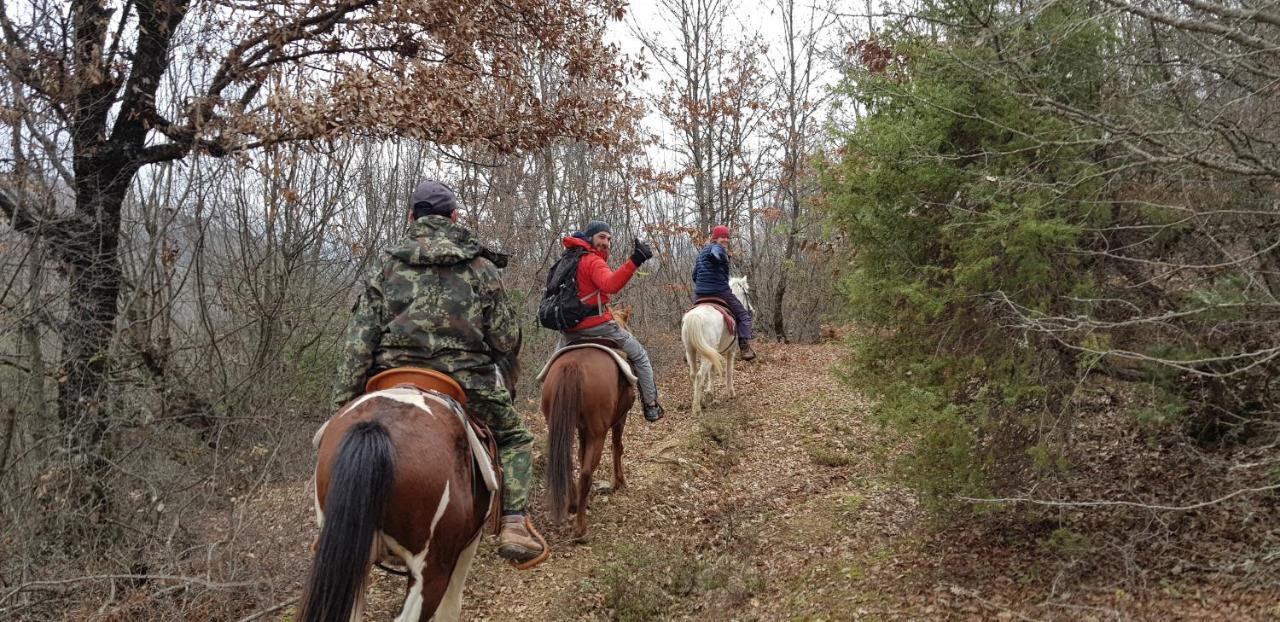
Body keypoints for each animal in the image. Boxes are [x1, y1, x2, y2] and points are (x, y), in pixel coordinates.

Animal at [680, 275, 747, 412]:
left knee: (693, 375)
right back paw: (697, 409)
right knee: (700, 375)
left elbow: (712, 372)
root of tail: (694, 317)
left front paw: (710, 394)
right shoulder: (731, 351)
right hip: (705, 354)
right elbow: (729, 370)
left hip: (691, 351)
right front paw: (730, 392)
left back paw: (700, 401)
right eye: (745, 293)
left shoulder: (714, 353)